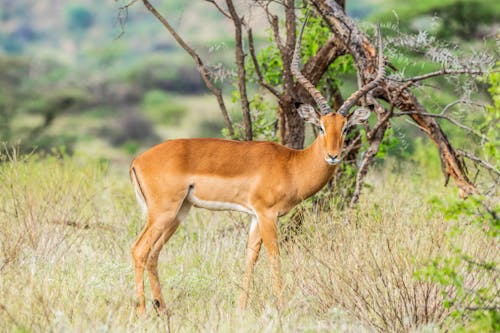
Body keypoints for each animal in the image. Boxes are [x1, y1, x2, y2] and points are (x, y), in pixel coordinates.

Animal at [129, 18, 382, 314]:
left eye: (345, 128)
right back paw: (142, 311)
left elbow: (250, 256)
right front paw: (281, 305)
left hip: (178, 213)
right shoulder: (267, 214)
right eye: (320, 127)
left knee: (153, 253)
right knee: (139, 249)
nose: (332, 156)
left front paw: (241, 307)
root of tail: (138, 160)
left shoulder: (254, 217)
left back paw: (162, 308)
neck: (291, 164)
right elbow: (274, 256)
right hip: (163, 212)